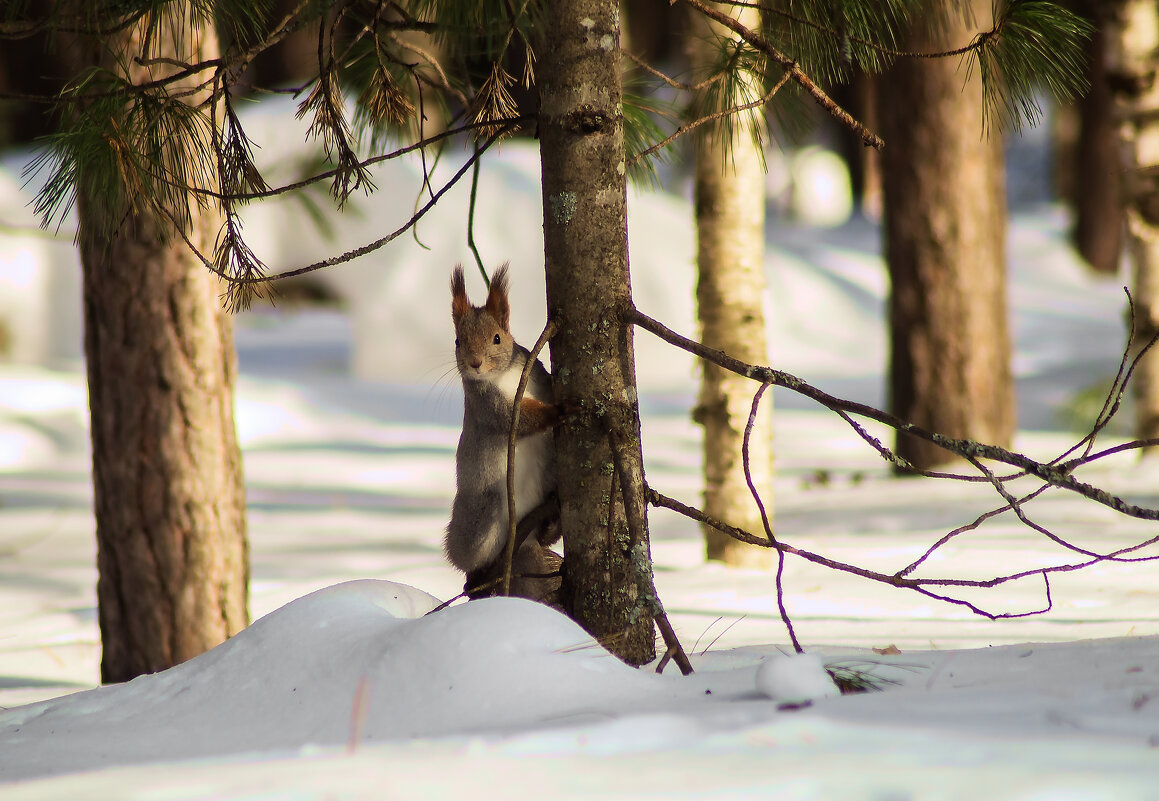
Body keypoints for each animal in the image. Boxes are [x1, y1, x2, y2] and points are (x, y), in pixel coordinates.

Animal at [442, 259, 565, 598]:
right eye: (458, 341)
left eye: (498, 338)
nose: (475, 363)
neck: (503, 374)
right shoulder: (487, 406)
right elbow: (518, 418)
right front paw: (559, 411)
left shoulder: (537, 374)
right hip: (484, 513)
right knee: (469, 559)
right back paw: (475, 577)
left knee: (547, 534)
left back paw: (551, 523)